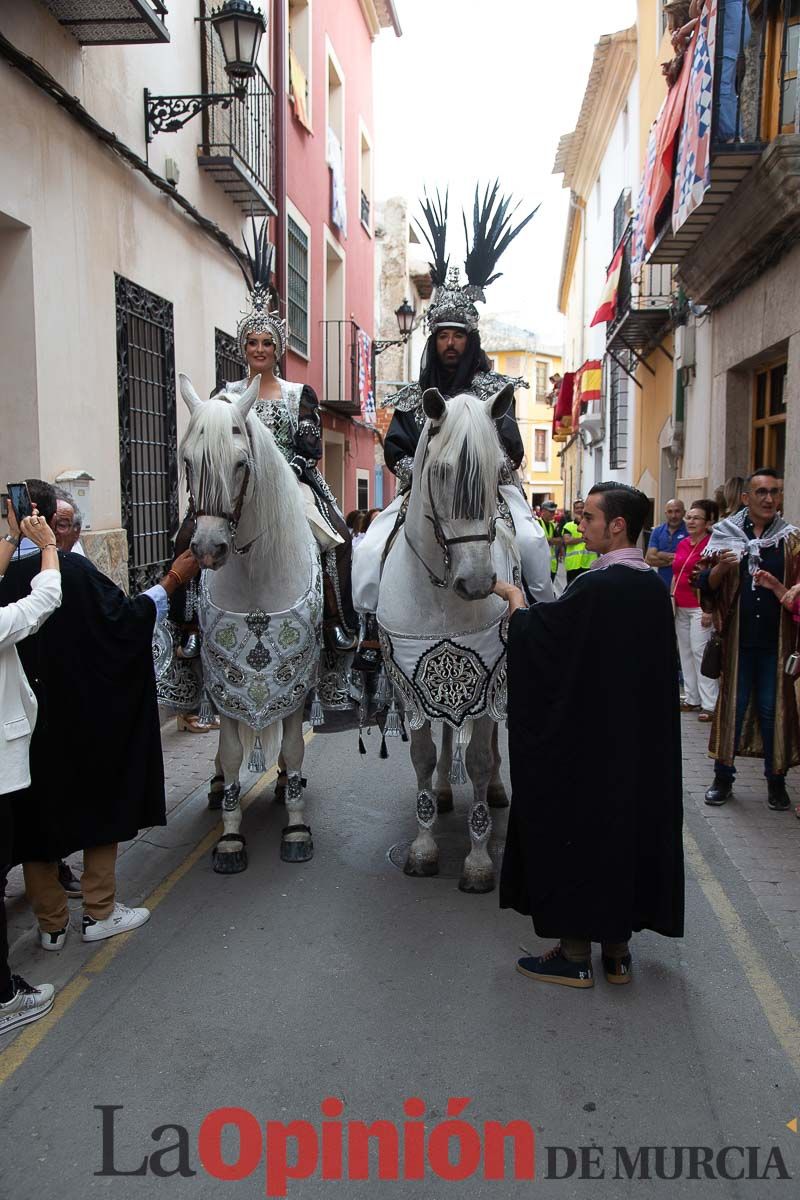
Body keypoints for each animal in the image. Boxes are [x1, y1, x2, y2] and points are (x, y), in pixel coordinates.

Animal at [179, 374, 321, 873]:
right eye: (187, 461)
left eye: (241, 464)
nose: (208, 548)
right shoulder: (224, 679)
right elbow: (230, 752)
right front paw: (230, 837)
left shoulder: (298, 676)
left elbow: (294, 747)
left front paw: (296, 829)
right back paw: (218, 787)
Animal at [376, 384, 527, 892]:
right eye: (440, 473)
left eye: (499, 471)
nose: (478, 583)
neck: (441, 590)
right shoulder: (411, 682)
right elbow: (422, 757)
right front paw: (423, 848)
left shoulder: (486, 677)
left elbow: (479, 758)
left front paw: (478, 861)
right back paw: (443, 791)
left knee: (492, 738)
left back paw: (497, 790)